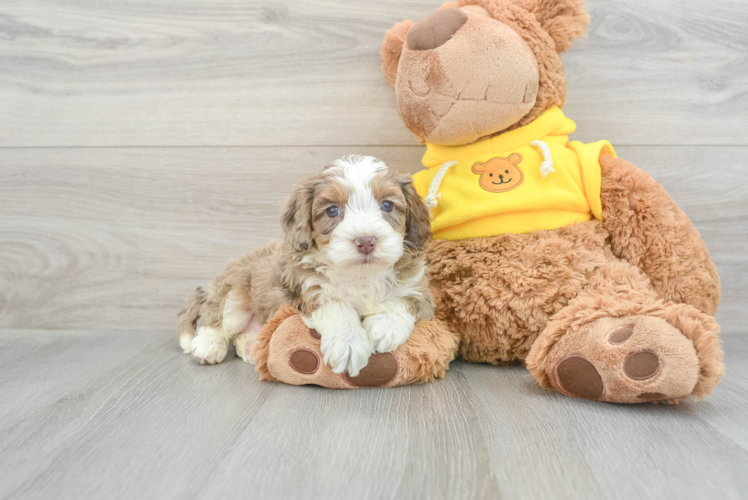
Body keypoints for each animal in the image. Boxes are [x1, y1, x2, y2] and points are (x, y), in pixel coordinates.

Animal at [178, 155, 436, 376]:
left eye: (387, 206)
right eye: (332, 210)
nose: (366, 241)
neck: (360, 276)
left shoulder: (421, 292)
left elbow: (404, 300)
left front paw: (385, 327)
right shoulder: (306, 289)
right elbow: (336, 306)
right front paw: (348, 343)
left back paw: (251, 345)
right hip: (236, 291)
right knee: (218, 319)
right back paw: (207, 345)